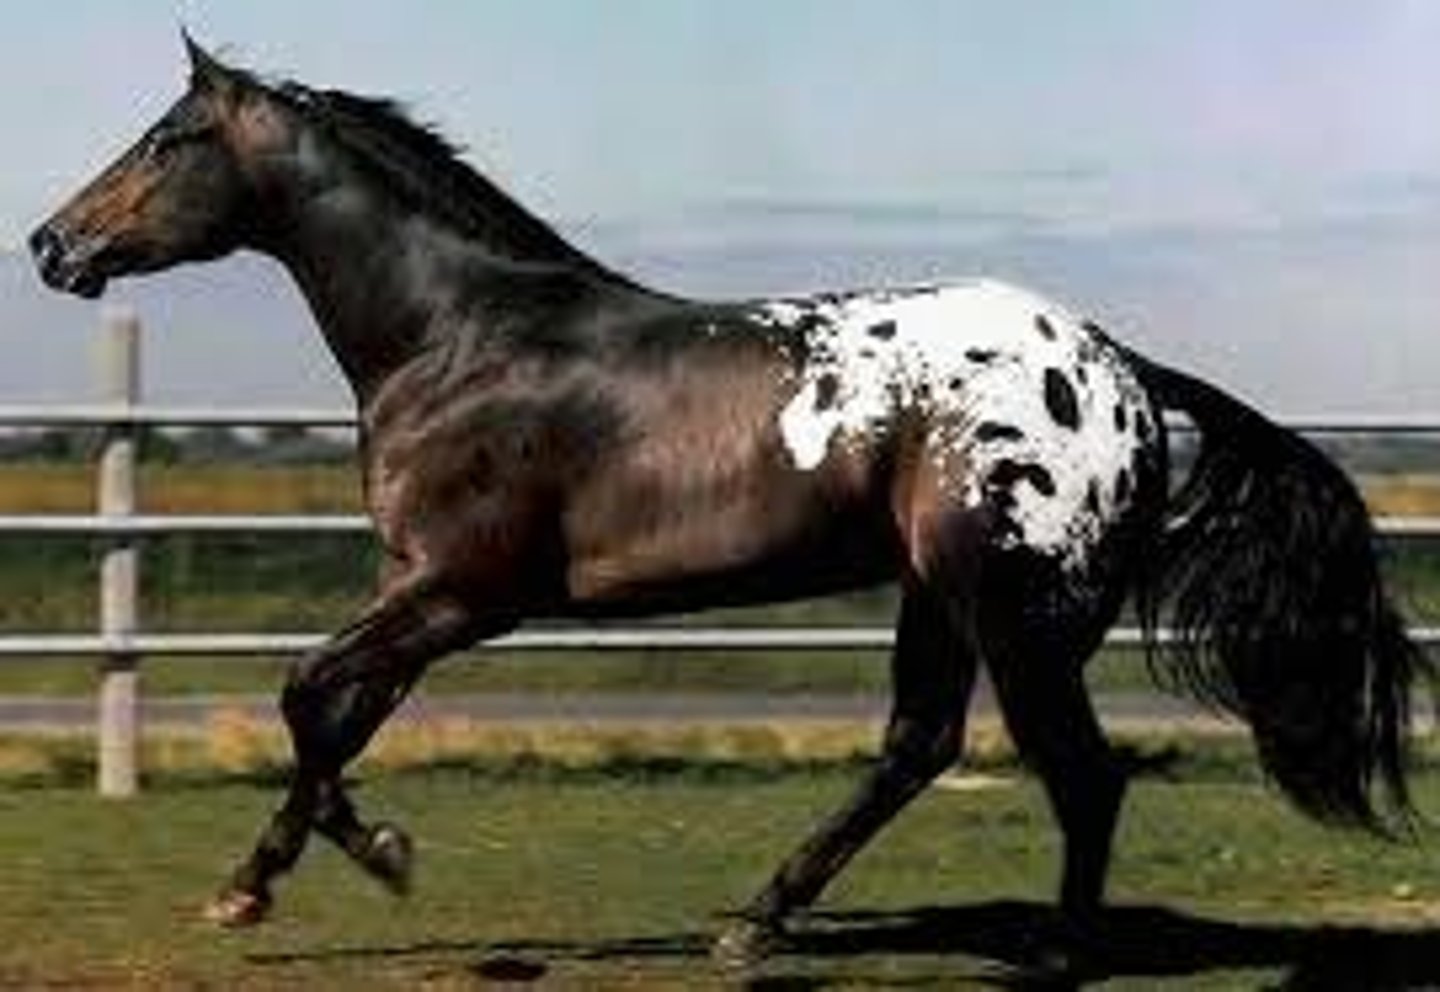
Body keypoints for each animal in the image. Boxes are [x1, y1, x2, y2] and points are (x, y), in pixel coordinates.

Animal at [30, 37, 1432, 967]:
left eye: (166, 138)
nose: (52, 245)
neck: (460, 340)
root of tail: (1120, 366)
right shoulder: (423, 594)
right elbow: (336, 718)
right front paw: (273, 879)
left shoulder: (463, 590)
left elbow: (306, 695)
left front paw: (359, 861)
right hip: (938, 597)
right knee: (919, 745)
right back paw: (757, 919)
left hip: (1017, 613)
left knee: (1080, 776)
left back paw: (1051, 956)